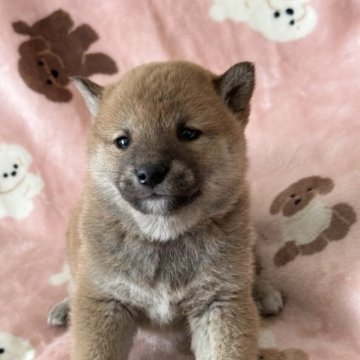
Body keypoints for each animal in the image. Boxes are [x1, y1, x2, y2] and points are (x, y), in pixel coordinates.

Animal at [48, 60, 282, 358]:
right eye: (123, 141)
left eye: (188, 133)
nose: (150, 173)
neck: (162, 238)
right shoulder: (105, 300)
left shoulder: (219, 301)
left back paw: (264, 292)